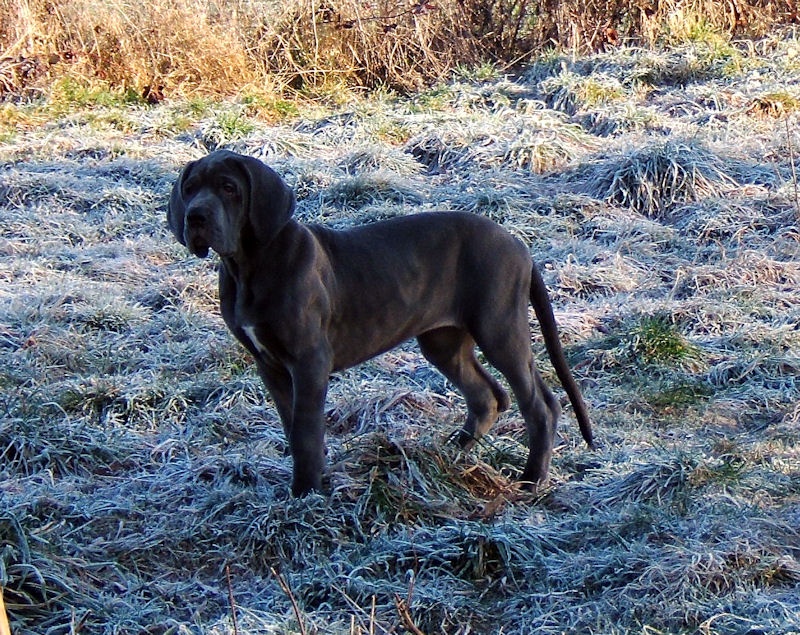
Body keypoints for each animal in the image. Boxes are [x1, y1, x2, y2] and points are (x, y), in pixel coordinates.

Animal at [168, 150, 593, 496]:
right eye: (189, 188)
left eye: (229, 188)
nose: (195, 217)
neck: (249, 266)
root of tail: (518, 244)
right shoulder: (269, 365)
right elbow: (293, 426)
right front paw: (314, 481)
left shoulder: (308, 361)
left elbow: (304, 430)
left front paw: (305, 495)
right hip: (443, 341)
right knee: (486, 396)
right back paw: (447, 454)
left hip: (499, 328)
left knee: (539, 405)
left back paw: (531, 479)